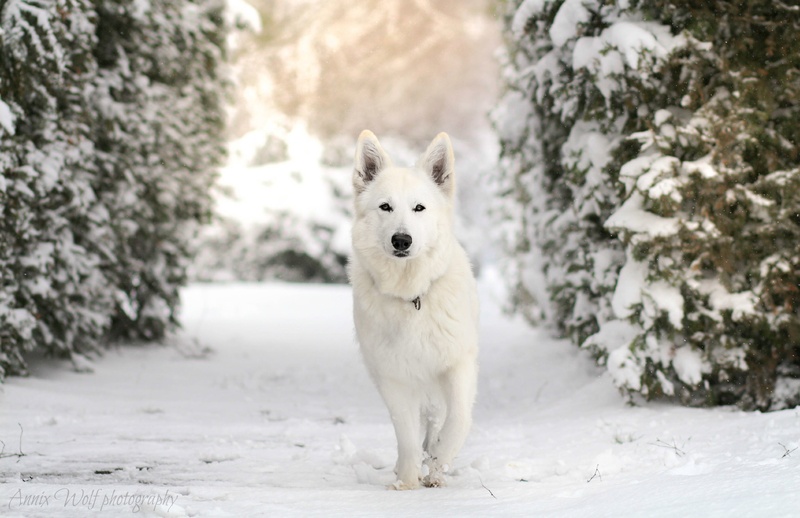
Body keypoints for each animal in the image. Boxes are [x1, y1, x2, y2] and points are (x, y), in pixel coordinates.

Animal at [349, 130, 479, 490]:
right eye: (385, 207)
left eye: (419, 208)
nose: (401, 240)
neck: (413, 297)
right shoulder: (393, 378)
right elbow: (405, 434)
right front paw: (406, 481)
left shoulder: (457, 365)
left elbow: (458, 419)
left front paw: (440, 458)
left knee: (438, 419)